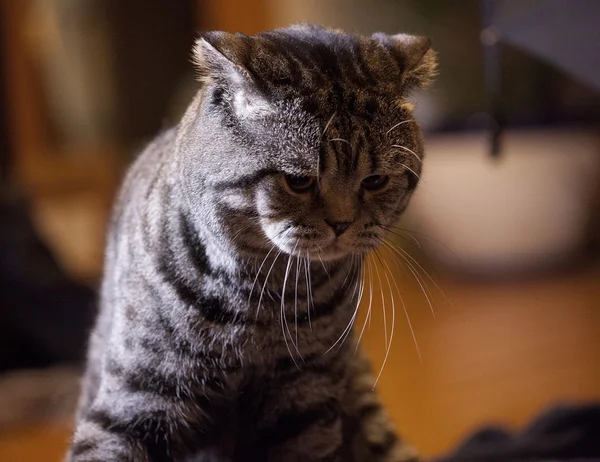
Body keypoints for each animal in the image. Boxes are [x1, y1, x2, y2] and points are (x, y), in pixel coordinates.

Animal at [68, 23, 436, 460]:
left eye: (375, 180)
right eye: (298, 181)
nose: (342, 223)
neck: (257, 299)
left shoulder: (305, 399)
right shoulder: (143, 393)